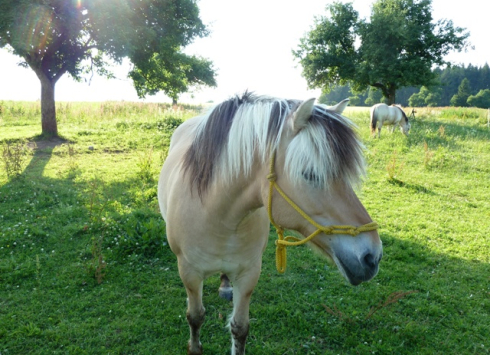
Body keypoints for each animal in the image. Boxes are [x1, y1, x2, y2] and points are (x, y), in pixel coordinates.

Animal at [159, 93, 380, 354]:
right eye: (311, 174)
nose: (372, 257)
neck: (218, 217)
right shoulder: (189, 273)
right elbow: (195, 317)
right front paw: (194, 346)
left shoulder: (249, 272)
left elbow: (239, 328)